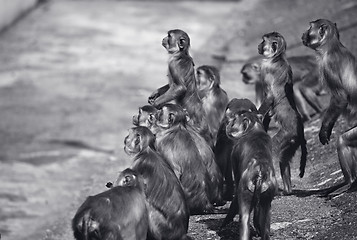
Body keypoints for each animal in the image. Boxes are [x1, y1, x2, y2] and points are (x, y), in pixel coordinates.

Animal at [302, 18, 356, 195]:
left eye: (309, 28)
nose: (303, 34)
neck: (333, 46)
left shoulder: (329, 64)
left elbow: (340, 99)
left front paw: (324, 129)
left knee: (343, 140)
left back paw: (349, 182)